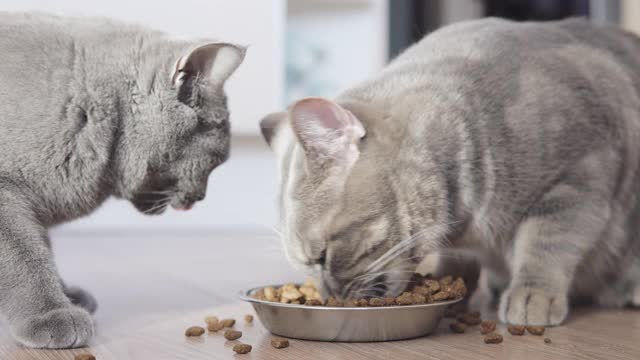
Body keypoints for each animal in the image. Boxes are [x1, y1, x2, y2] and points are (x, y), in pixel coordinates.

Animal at [0, 12, 245, 348]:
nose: (201, 197)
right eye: (215, 162)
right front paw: (52, 313)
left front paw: (66, 295)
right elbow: (24, 256)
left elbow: (42, 246)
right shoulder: (7, 195)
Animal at [260, 18, 640, 328]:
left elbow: (546, 245)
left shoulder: (580, 178)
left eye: (323, 256)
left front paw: (531, 296)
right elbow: (458, 264)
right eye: (308, 266)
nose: (331, 297)